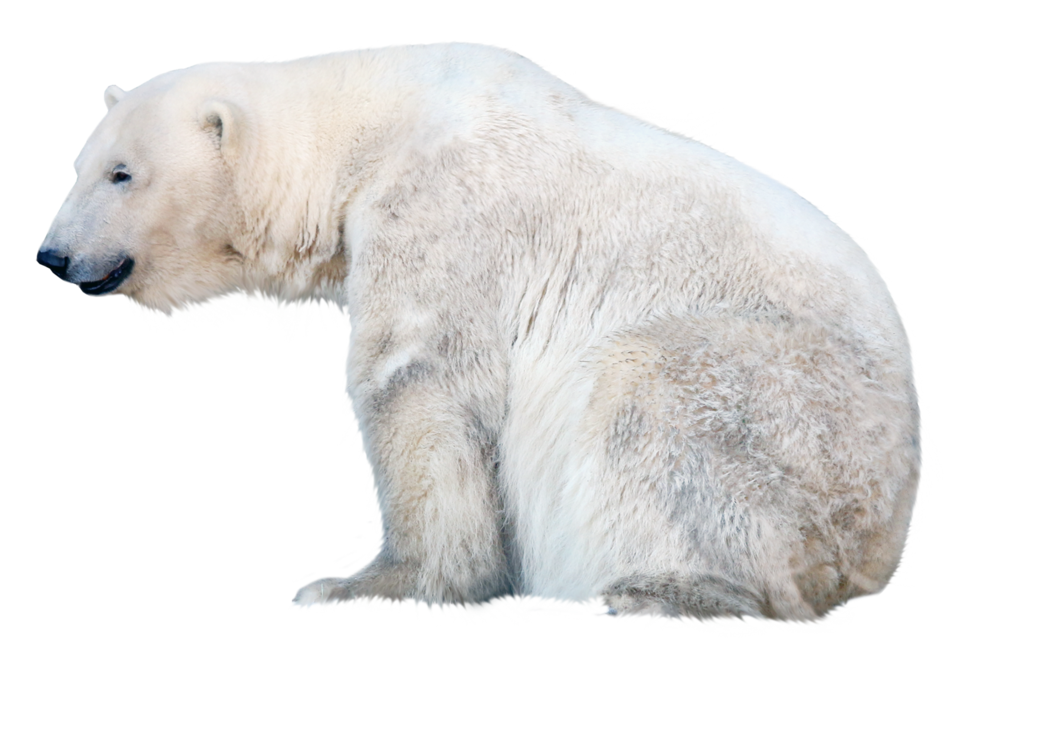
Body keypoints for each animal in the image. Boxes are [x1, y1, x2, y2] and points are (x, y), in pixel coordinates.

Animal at [36, 42, 924, 626]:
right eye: (78, 168)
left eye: (123, 173)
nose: (51, 256)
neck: (366, 128)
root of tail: (886, 536)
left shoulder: (440, 209)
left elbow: (417, 384)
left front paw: (360, 586)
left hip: (791, 420)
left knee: (645, 398)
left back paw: (651, 590)